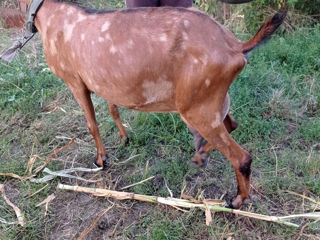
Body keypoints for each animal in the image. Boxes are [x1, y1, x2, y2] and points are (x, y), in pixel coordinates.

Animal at [23, 0, 286, 208]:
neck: (51, 16)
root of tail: (235, 45)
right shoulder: (105, 80)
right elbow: (112, 108)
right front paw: (124, 138)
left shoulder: (74, 81)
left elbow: (92, 123)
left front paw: (101, 160)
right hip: (211, 102)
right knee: (232, 124)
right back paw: (200, 155)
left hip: (197, 107)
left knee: (241, 156)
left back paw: (238, 199)